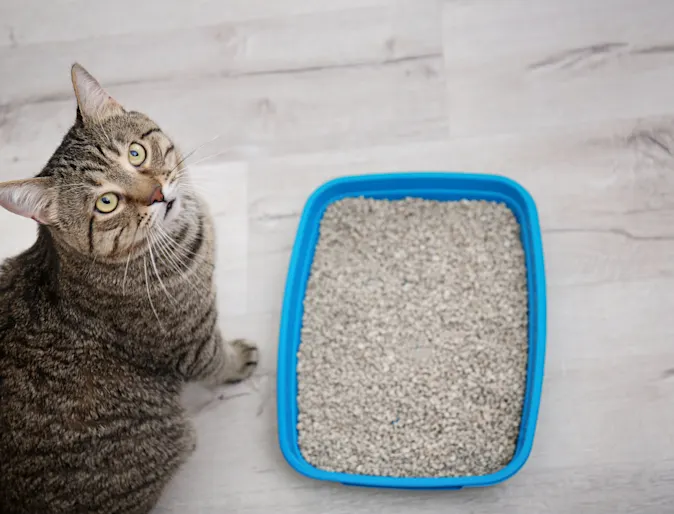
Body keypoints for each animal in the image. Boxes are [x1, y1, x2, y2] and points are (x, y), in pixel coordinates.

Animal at [0, 64, 258, 512]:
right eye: (107, 203)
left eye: (136, 154)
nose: (157, 195)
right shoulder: (191, 342)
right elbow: (217, 361)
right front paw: (238, 360)